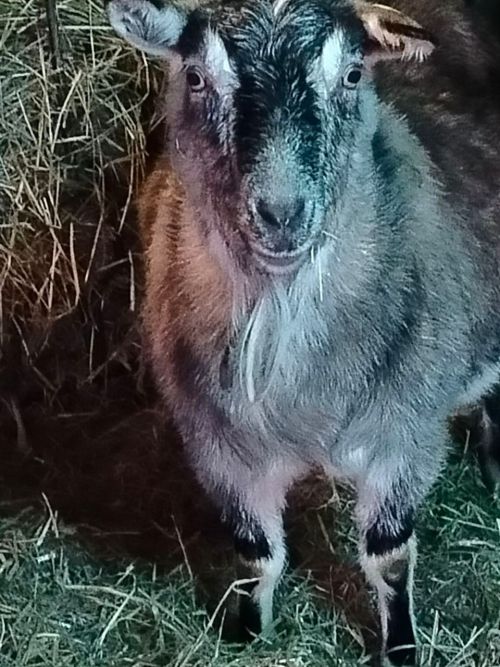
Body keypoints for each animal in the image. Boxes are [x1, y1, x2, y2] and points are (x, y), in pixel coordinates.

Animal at [107, 1, 500, 664]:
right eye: (196, 78)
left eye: (352, 76)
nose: (281, 213)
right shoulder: (219, 444)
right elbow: (254, 553)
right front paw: (247, 631)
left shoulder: (405, 433)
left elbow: (389, 558)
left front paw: (400, 647)